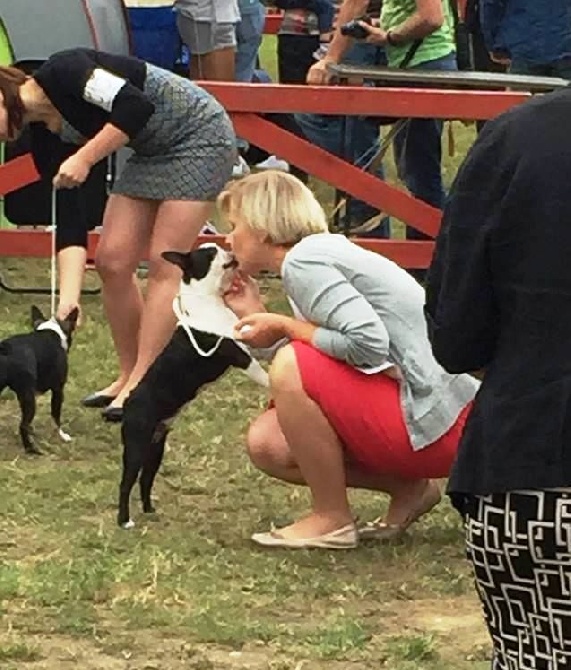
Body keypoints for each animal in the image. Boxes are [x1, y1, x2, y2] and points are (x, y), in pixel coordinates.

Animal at [0, 306, 79, 454]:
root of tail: (6, 348)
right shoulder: (58, 390)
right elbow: (56, 415)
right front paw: (62, 435)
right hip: (29, 397)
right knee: (23, 425)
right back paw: (31, 449)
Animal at [118, 244, 268, 532]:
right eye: (210, 254)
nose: (228, 247)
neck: (207, 300)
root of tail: (127, 404)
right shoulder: (240, 356)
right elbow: (263, 374)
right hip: (137, 445)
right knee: (126, 482)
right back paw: (124, 520)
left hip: (156, 447)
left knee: (145, 478)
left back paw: (149, 510)